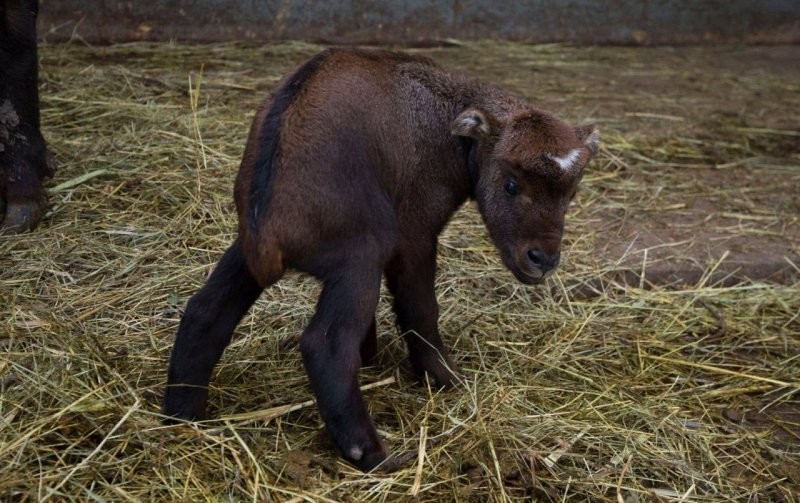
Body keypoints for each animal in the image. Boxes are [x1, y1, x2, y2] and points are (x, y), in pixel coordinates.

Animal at [164, 48, 600, 472]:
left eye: (571, 193)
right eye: (510, 184)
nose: (542, 258)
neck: (448, 120)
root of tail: (269, 231)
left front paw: (372, 357)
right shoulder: (413, 235)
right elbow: (421, 309)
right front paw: (445, 379)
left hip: (247, 252)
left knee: (205, 313)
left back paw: (182, 417)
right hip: (360, 256)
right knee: (326, 345)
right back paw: (373, 454)